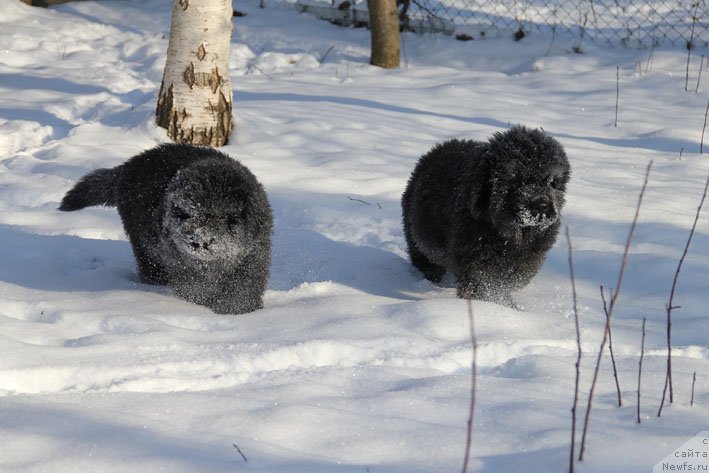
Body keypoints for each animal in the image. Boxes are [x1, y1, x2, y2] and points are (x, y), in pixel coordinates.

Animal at [58, 144, 272, 314]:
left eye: (227, 217)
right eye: (186, 214)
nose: (199, 240)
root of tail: (127, 166)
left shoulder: (253, 256)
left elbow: (243, 287)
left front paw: (238, 310)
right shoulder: (183, 265)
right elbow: (198, 288)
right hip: (144, 246)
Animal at [404, 125, 568, 304]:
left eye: (552, 183)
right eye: (518, 180)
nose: (541, 206)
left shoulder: (531, 255)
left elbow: (514, 277)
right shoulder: (473, 255)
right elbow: (482, 283)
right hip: (416, 231)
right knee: (422, 254)